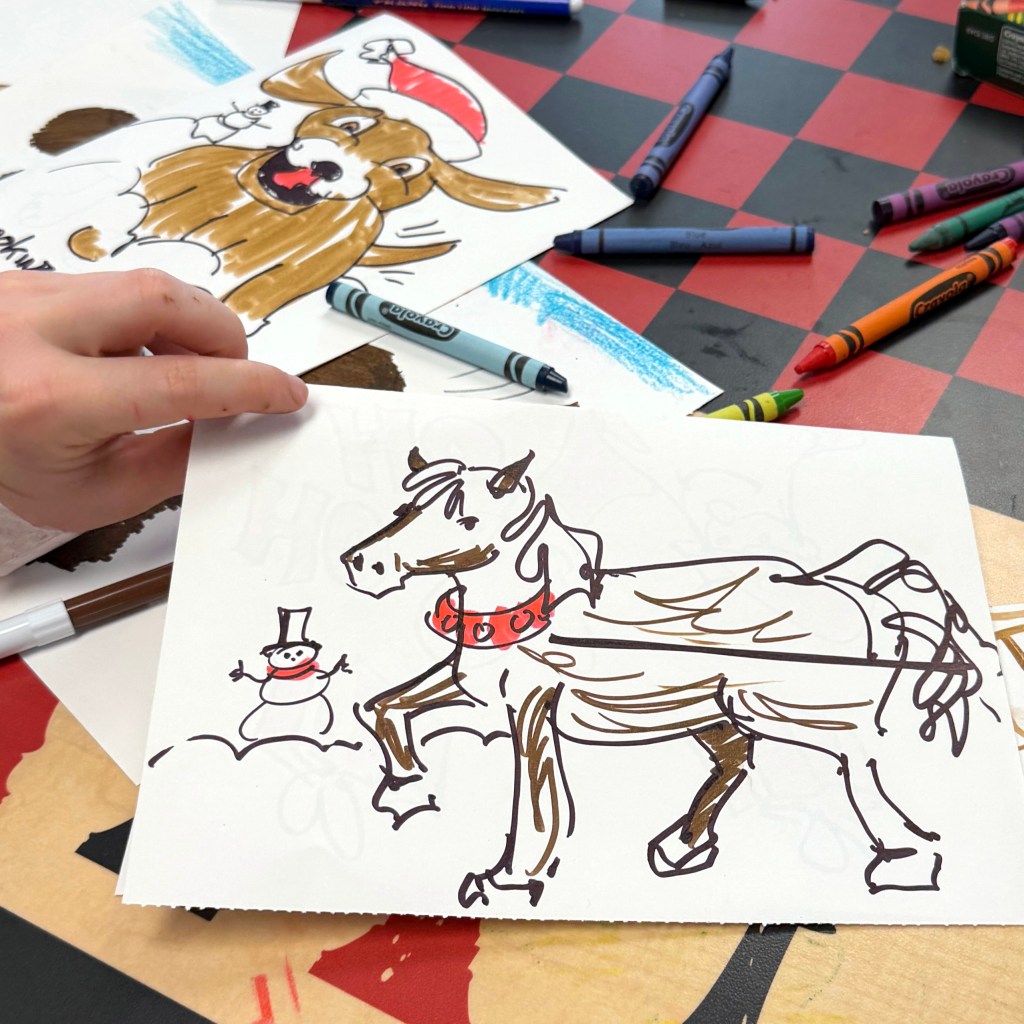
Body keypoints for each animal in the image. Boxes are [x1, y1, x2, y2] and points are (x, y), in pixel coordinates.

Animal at [340, 447, 996, 908]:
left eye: (466, 518)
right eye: (405, 511)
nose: (361, 564)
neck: (530, 614)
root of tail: (844, 585)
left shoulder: (530, 710)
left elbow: (538, 801)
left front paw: (512, 880)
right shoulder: (476, 696)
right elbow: (383, 708)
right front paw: (408, 788)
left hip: (776, 706)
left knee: (855, 757)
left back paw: (904, 859)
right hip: (705, 708)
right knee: (735, 757)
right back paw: (684, 846)